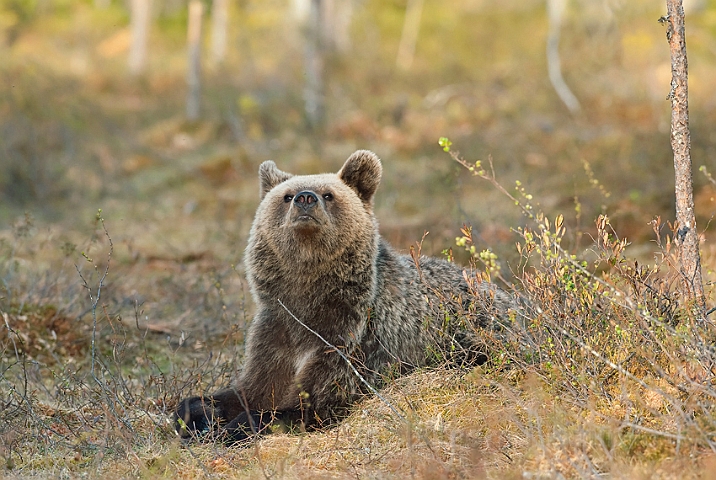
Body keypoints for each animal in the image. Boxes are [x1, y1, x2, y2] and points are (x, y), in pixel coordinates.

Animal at [176, 150, 516, 442]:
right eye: (286, 196)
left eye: (329, 194)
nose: (305, 198)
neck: (307, 298)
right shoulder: (276, 333)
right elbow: (250, 388)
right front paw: (200, 413)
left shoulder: (352, 337)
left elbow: (315, 401)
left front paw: (235, 426)